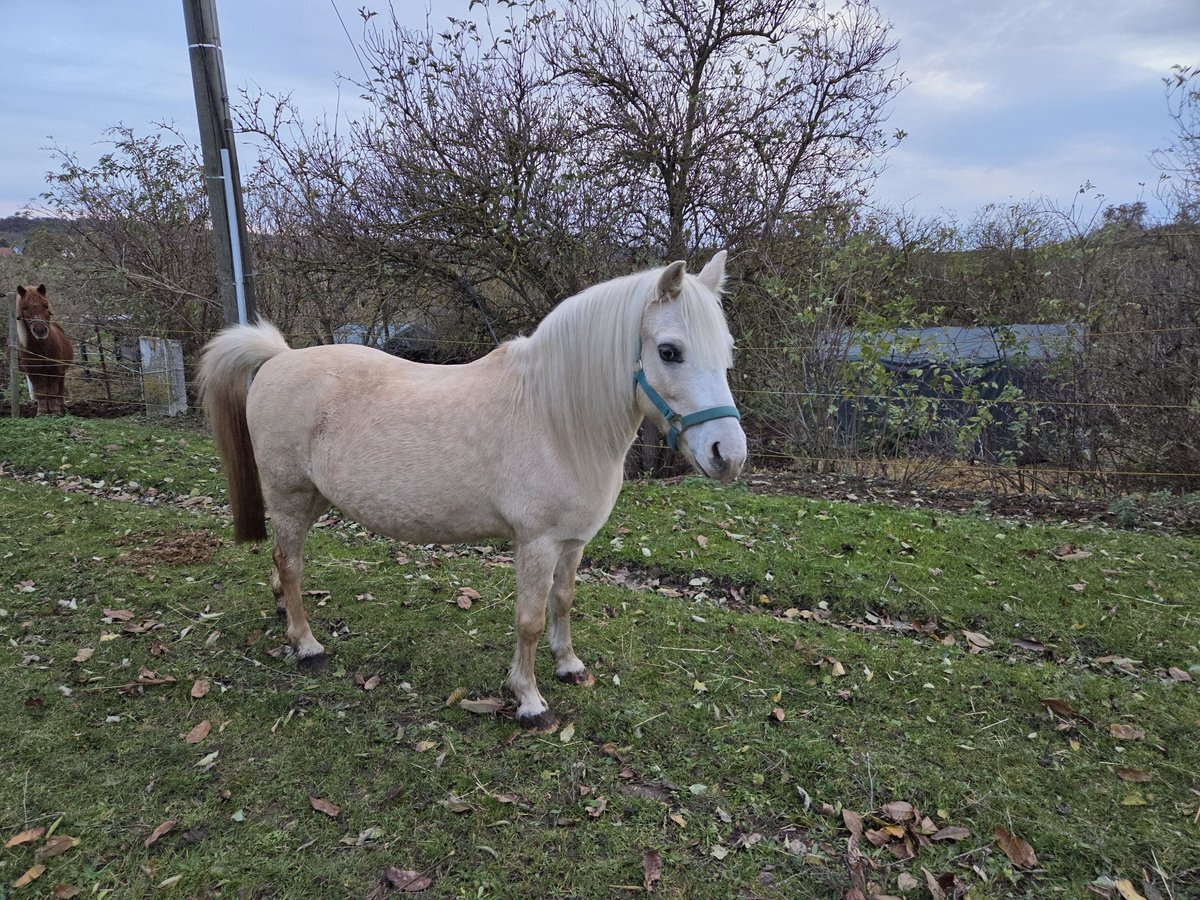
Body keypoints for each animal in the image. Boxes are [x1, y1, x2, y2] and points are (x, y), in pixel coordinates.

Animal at [15, 284, 74, 416]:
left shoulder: (54, 369)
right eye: (24, 308)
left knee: (59, 389)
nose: (40, 331)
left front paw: (56, 411)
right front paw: (42, 412)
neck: (41, 348)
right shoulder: (33, 372)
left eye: (46, 306)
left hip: (60, 372)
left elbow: (53, 391)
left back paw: (61, 407)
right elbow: (40, 392)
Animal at [198, 253, 746, 731]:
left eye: (727, 352)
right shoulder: (537, 543)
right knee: (290, 563)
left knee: (282, 561)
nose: (729, 454)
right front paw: (529, 701)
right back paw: (307, 645)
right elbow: (529, 619)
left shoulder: (572, 542)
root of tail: (279, 358)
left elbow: (564, 600)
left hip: (312, 499)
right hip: (290, 497)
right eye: (669, 351)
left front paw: (569, 665)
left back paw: (282, 612)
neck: (555, 418)